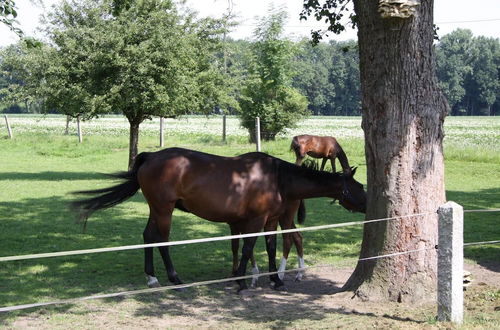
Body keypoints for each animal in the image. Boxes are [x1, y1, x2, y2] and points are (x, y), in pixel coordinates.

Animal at [71, 148, 368, 292]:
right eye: (360, 186)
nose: (369, 205)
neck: (277, 177)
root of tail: (151, 156)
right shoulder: (255, 220)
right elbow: (247, 248)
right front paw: (241, 281)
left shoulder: (270, 220)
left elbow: (271, 247)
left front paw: (276, 280)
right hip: (165, 210)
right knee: (161, 240)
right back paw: (174, 279)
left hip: (156, 209)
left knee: (147, 237)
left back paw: (152, 278)